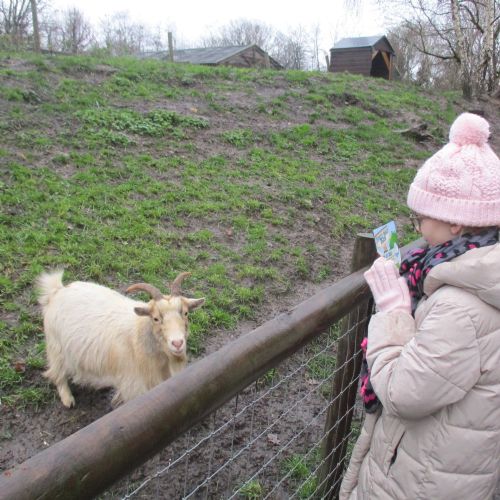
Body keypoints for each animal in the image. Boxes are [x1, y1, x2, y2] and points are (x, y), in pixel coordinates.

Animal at [37, 270, 205, 407]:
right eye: (156, 318)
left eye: (185, 313)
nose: (177, 343)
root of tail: (57, 291)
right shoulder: (134, 385)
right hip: (56, 346)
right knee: (57, 373)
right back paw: (67, 399)